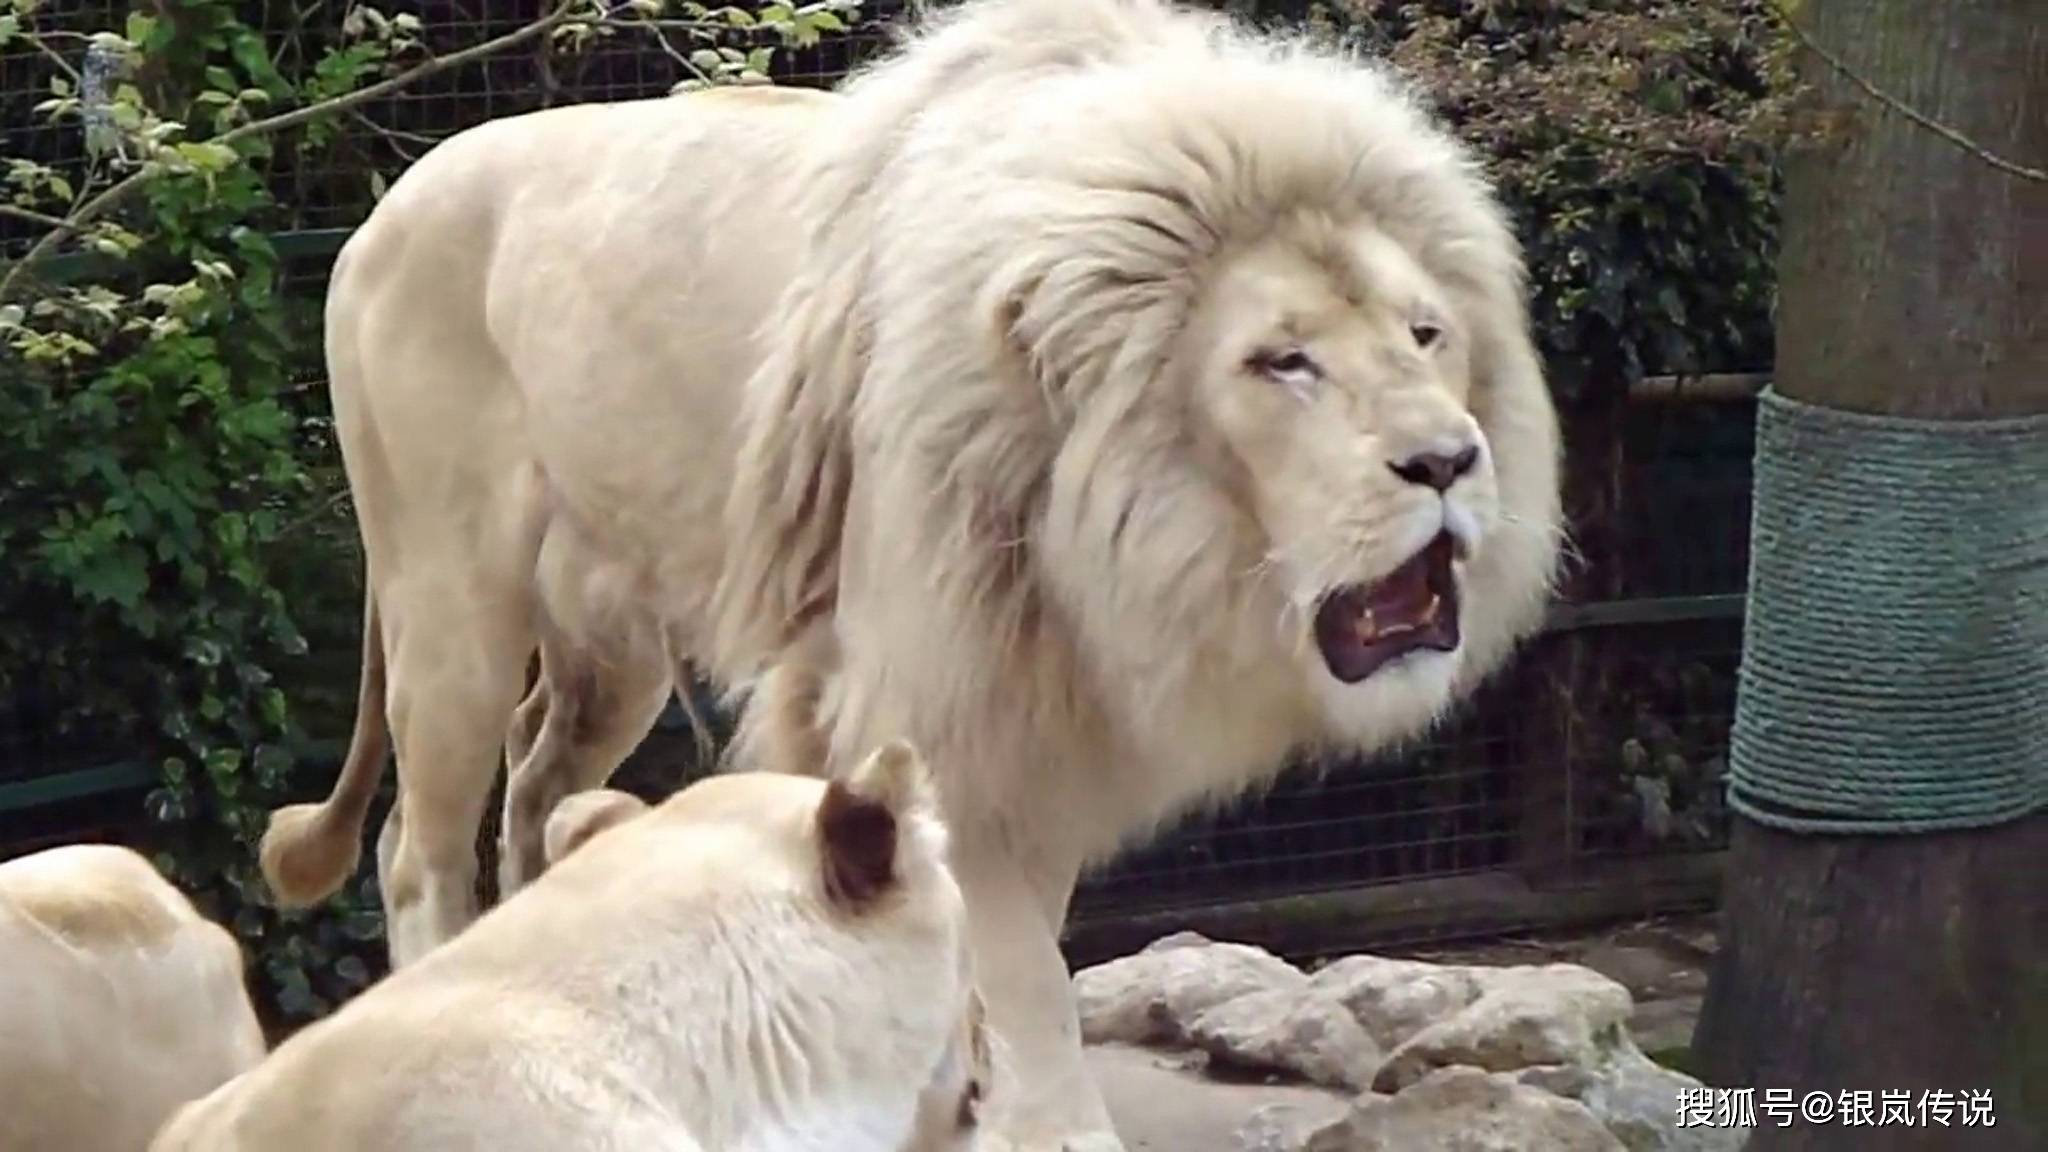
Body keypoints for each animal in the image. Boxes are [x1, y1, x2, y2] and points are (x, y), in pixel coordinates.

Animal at [264, 0, 1556, 1139]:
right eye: (1281, 362)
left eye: (1424, 335)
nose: (1447, 461)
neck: (1104, 542)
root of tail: (380, 212)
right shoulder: (923, 704)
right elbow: (1016, 973)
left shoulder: (1040, 728)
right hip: (450, 605)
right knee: (416, 847)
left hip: (609, 645)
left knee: (536, 788)